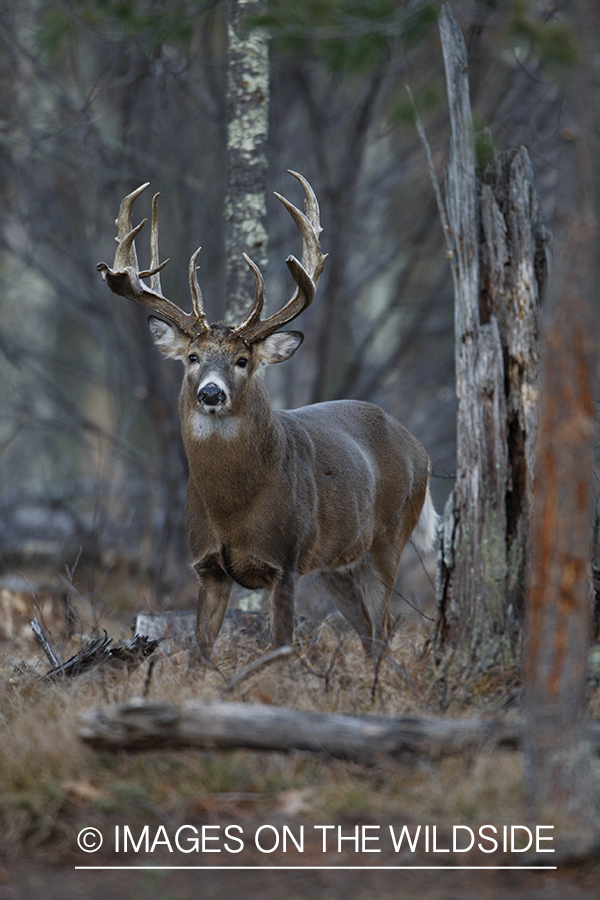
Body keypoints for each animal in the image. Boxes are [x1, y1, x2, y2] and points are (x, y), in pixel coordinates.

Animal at [97, 172, 436, 656]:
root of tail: (419, 447)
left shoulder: (287, 561)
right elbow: (199, 651)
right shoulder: (206, 567)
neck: (231, 506)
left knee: (385, 625)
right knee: (371, 630)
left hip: (388, 538)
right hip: (338, 564)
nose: (212, 392)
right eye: (193, 357)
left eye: (243, 360)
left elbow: (281, 648)